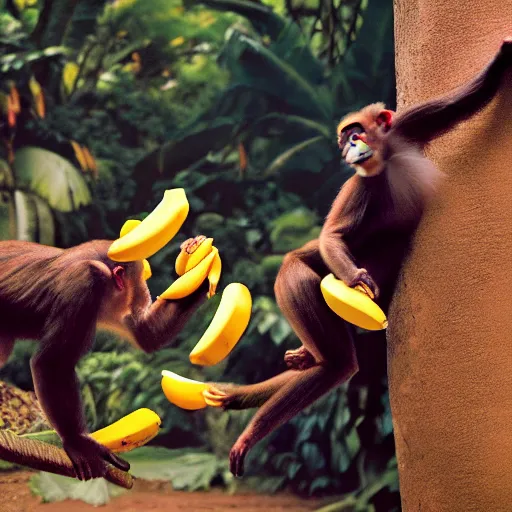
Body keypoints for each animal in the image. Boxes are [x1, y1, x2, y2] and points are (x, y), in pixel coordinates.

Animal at [0, 236, 209, 480]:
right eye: (140, 279)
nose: (145, 293)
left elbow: (147, 334)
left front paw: (201, 261)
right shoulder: (86, 282)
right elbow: (52, 362)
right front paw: (77, 442)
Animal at [204, 39, 512, 476]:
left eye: (356, 132)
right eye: (345, 138)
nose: (350, 147)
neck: (389, 160)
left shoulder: (406, 128)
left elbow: (462, 103)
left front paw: (503, 59)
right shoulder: (362, 184)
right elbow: (333, 235)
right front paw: (355, 281)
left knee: (328, 358)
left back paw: (283, 370)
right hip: (295, 281)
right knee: (335, 362)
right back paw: (254, 428)